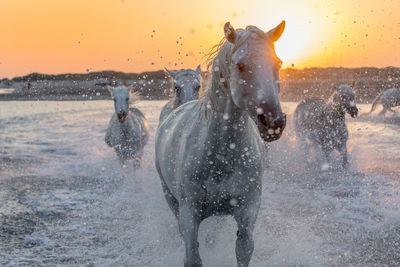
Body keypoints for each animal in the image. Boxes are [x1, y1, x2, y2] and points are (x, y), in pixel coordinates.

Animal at [155, 21, 286, 267]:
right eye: (241, 65)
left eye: (278, 63)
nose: (274, 122)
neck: (222, 156)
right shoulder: (189, 215)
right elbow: (192, 256)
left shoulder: (247, 213)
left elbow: (243, 250)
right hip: (170, 198)